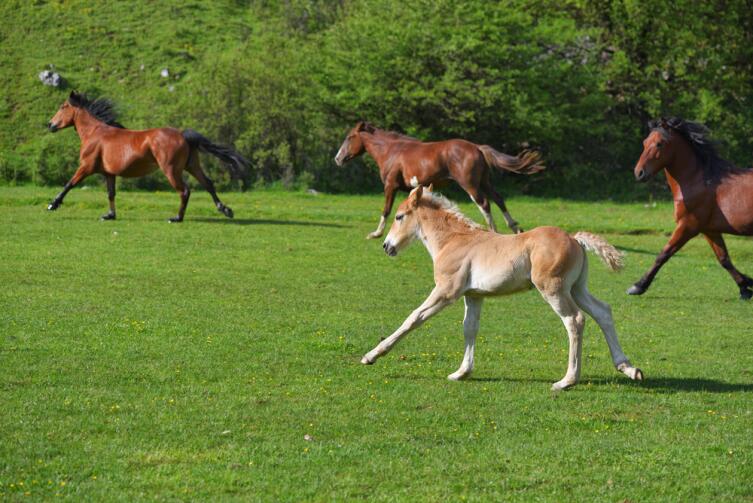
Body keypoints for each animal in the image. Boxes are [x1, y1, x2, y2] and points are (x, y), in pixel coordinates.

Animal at [45, 92, 248, 222]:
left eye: (63, 106)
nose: (50, 124)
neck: (95, 133)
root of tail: (183, 135)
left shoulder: (86, 167)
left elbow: (69, 184)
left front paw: (53, 204)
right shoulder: (109, 173)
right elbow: (111, 193)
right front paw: (110, 215)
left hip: (171, 170)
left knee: (184, 191)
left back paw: (177, 218)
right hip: (192, 165)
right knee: (208, 184)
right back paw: (225, 210)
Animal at [334, 122, 540, 240]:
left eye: (349, 137)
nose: (338, 159)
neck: (391, 152)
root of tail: (477, 148)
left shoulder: (390, 186)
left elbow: (386, 210)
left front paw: (375, 233)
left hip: (470, 184)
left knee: (484, 204)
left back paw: (494, 231)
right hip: (484, 181)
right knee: (498, 199)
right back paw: (516, 228)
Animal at [362, 185, 644, 390]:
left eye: (399, 216)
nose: (387, 246)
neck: (453, 240)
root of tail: (575, 238)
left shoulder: (446, 291)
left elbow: (413, 318)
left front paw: (372, 355)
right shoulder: (473, 296)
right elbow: (469, 328)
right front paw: (462, 372)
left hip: (553, 289)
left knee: (574, 320)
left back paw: (567, 381)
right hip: (576, 288)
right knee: (602, 312)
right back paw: (629, 368)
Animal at [624, 117, 752, 300]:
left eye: (659, 144)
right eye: (645, 142)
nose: (639, 173)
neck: (699, 182)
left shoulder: (688, 225)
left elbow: (663, 254)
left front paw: (638, 286)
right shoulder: (709, 230)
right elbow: (724, 259)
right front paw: (745, 287)